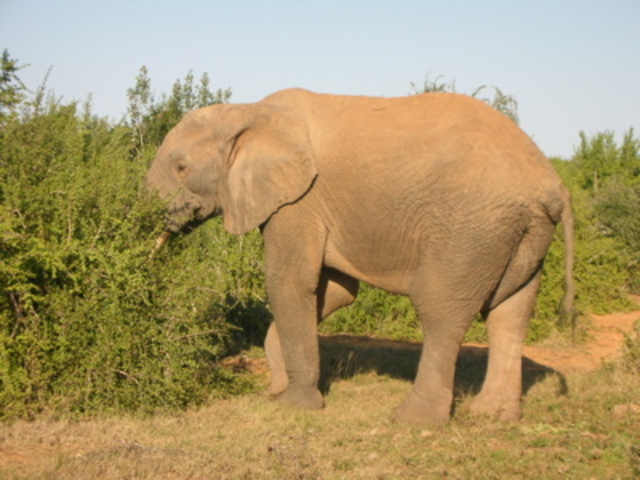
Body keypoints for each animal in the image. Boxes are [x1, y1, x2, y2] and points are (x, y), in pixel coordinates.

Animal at [145, 88, 574, 426]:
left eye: (182, 168)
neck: (249, 111)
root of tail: (554, 187)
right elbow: (336, 290)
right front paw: (279, 388)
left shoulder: (299, 201)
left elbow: (289, 282)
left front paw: (294, 405)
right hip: (521, 234)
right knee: (510, 313)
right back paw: (493, 416)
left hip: (470, 229)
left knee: (441, 309)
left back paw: (412, 421)